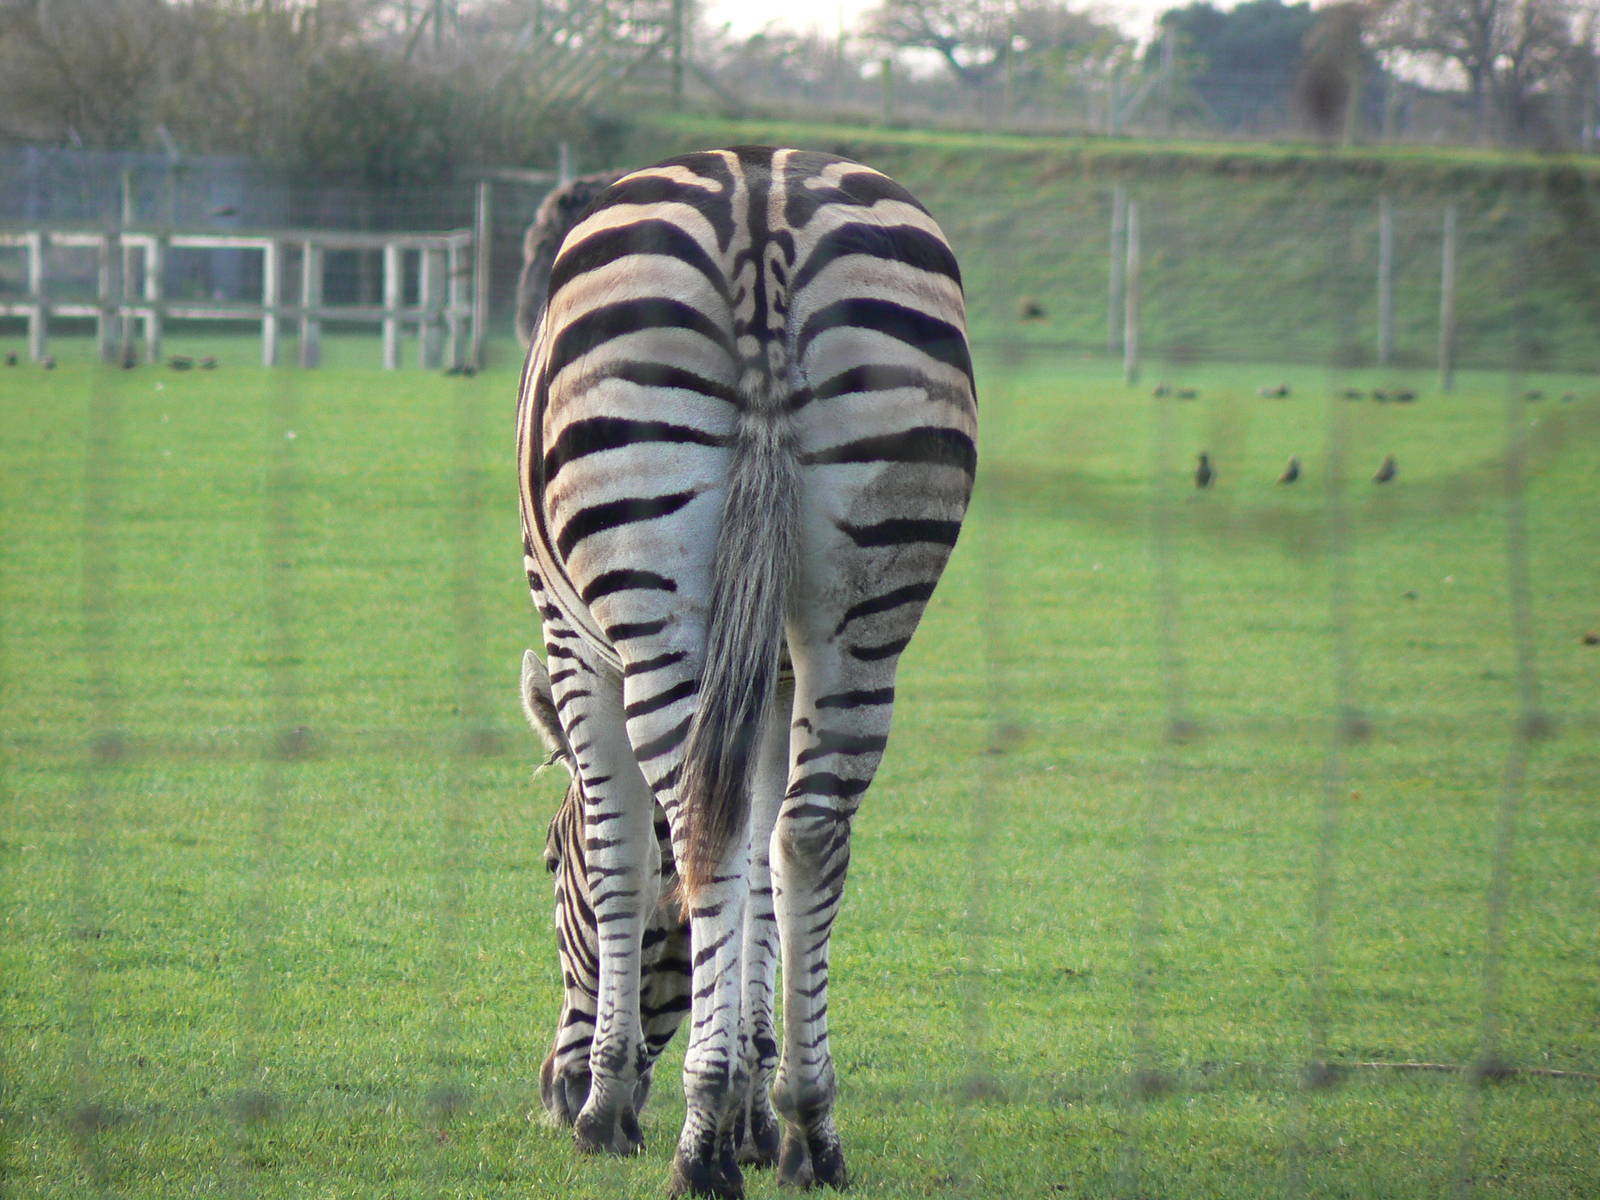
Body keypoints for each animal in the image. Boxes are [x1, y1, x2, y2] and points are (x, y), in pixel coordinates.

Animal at [515, 146, 977, 1198]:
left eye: (547, 864)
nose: (553, 1093)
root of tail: (757, 192)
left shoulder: (574, 643)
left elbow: (625, 852)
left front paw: (613, 1110)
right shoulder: (770, 674)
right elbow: (763, 859)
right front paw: (758, 1112)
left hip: (652, 601)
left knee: (703, 829)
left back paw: (698, 1150)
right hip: (862, 611)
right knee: (806, 835)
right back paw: (809, 1127)